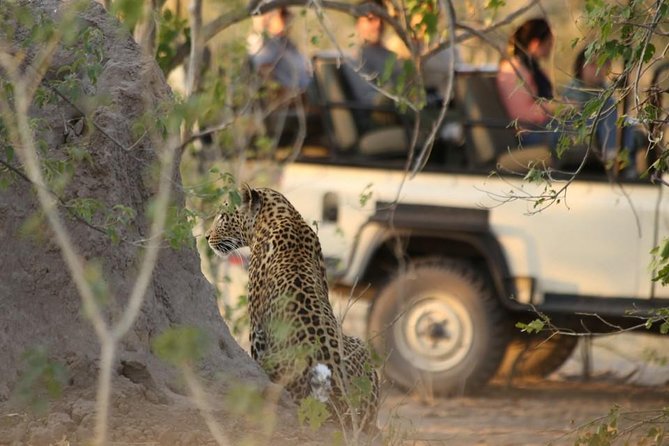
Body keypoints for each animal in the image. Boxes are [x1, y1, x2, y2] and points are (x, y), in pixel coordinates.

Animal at [206, 186, 378, 432]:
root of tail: (340, 398)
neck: (283, 215)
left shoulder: (257, 328)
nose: (206, 237)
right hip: (361, 347)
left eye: (222, 216)